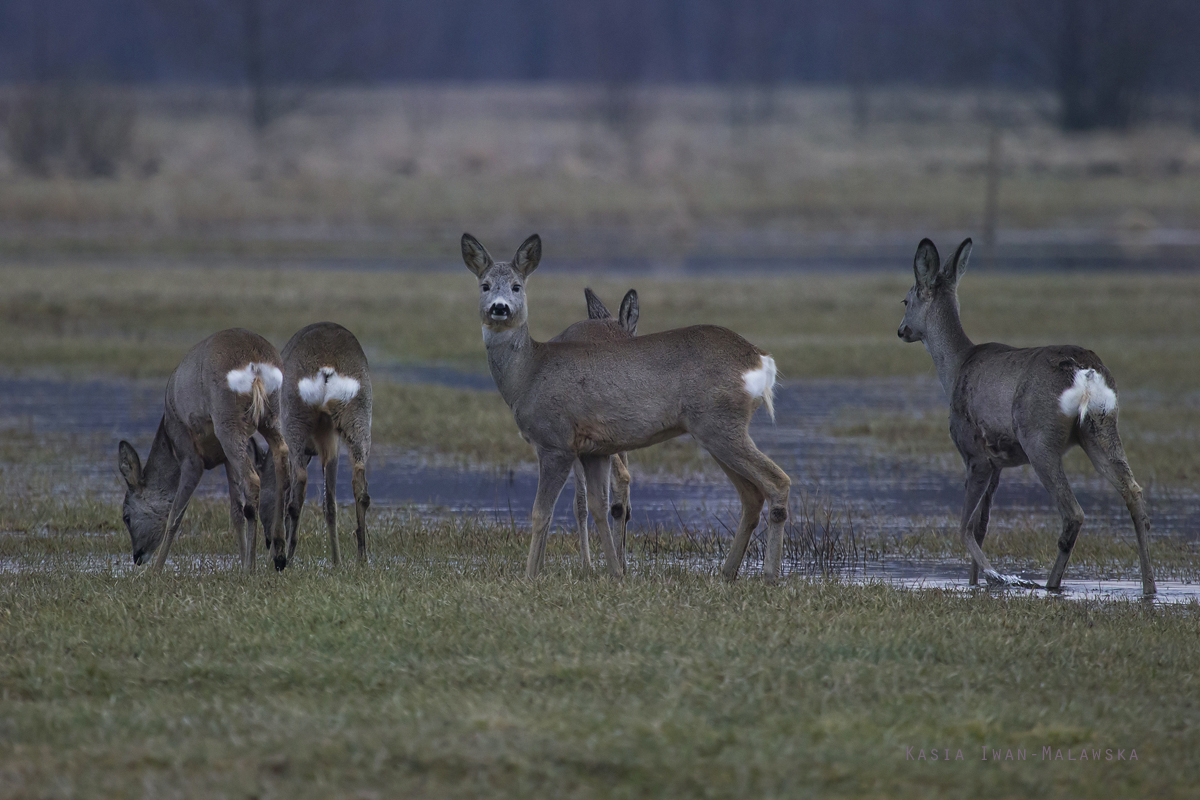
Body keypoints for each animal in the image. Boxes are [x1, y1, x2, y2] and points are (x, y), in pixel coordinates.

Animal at [116, 328, 292, 573]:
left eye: (126, 516)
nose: (138, 556)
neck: (169, 437)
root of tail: (256, 365)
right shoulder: (225, 459)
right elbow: (235, 512)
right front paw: (241, 560)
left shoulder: (190, 455)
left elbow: (176, 514)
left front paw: (156, 571)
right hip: (271, 415)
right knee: (282, 456)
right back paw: (278, 555)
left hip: (227, 421)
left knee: (253, 479)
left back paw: (254, 567)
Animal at [260, 321, 372, 566]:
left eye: (260, 495)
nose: (266, 541)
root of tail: (327, 368)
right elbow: (329, 503)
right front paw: (337, 561)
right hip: (356, 419)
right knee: (358, 486)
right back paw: (358, 557)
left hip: (295, 421)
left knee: (299, 486)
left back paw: (288, 556)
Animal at [897, 237, 1156, 594]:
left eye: (905, 299)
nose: (901, 330)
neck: (955, 366)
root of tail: (1086, 371)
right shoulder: (997, 462)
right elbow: (981, 525)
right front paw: (977, 583)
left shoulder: (974, 452)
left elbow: (964, 527)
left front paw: (995, 576)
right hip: (1102, 429)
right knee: (1134, 494)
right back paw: (1149, 587)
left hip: (1038, 436)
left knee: (1073, 512)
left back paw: (1050, 585)